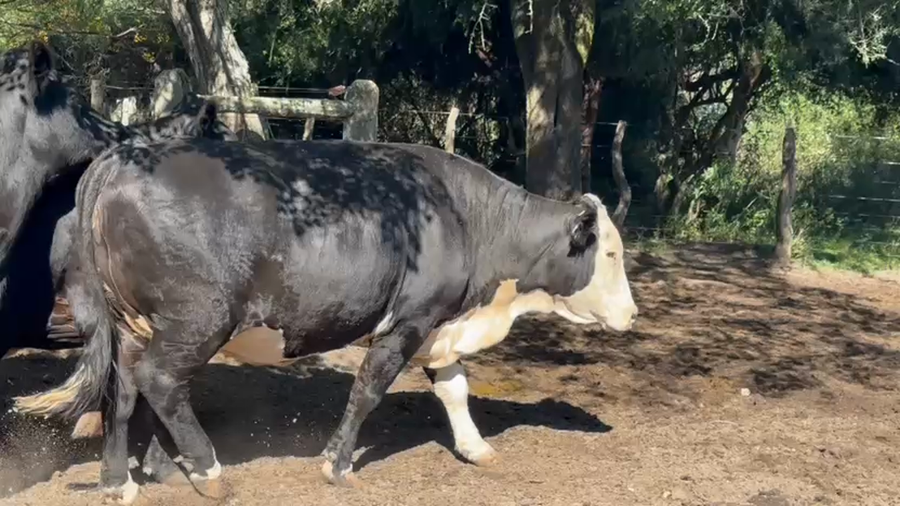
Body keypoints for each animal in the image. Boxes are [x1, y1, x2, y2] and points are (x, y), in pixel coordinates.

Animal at [14, 135, 638, 504]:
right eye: (610, 253)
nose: (632, 314)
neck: (467, 218)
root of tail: (121, 157)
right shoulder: (408, 321)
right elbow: (368, 390)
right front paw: (336, 464)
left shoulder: (439, 326)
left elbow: (455, 388)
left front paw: (475, 448)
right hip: (199, 318)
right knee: (161, 382)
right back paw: (209, 471)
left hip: (133, 326)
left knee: (123, 390)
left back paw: (123, 479)